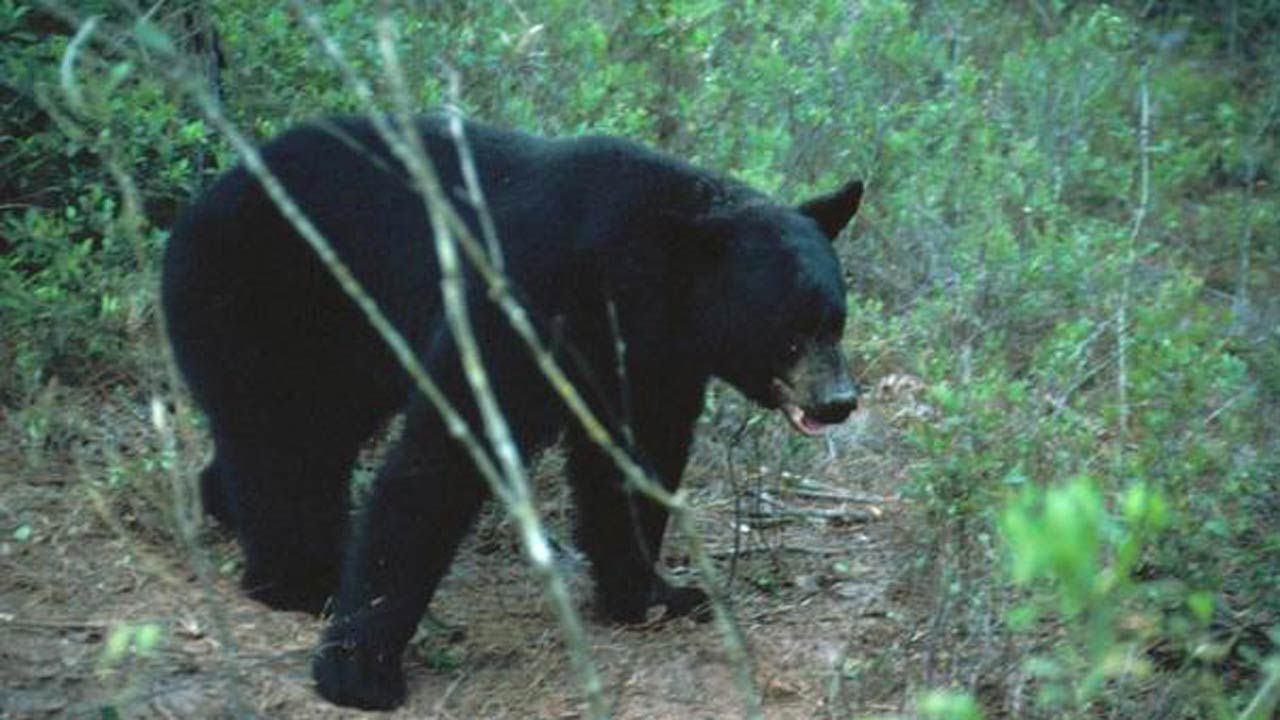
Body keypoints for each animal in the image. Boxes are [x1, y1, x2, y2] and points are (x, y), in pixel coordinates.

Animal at [161, 114, 863, 710]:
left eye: (836, 320)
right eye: (790, 333)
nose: (839, 402)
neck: (629, 279)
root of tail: (199, 202)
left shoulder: (647, 362)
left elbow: (633, 463)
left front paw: (656, 594)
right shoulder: (521, 300)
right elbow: (442, 457)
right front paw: (360, 669)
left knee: (303, 437)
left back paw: (231, 510)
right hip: (265, 295)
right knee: (279, 437)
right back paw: (300, 579)